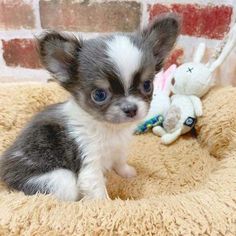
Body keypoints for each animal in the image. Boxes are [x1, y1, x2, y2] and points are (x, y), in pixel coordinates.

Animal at [0, 14, 180, 201]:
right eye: (99, 94)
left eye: (147, 85)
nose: (131, 109)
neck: (109, 129)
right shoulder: (89, 159)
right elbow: (98, 191)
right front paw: (105, 203)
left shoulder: (119, 147)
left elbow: (120, 160)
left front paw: (126, 172)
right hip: (61, 180)